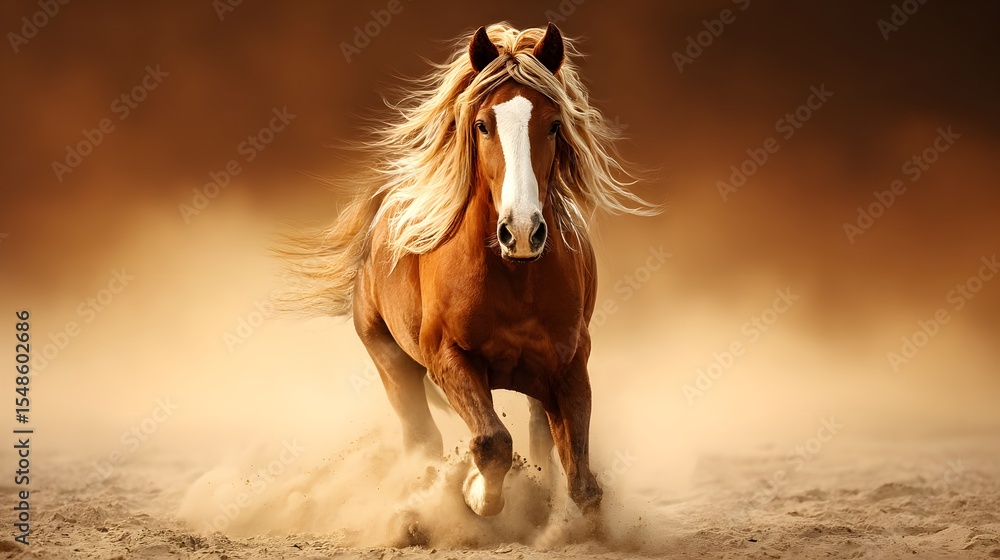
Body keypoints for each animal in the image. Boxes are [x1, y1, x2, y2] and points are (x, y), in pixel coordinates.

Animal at [282, 22, 657, 519]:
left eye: (554, 125)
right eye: (482, 125)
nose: (522, 231)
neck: (514, 281)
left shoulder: (569, 365)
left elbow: (581, 478)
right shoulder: (449, 358)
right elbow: (492, 442)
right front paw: (476, 494)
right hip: (392, 362)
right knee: (422, 440)